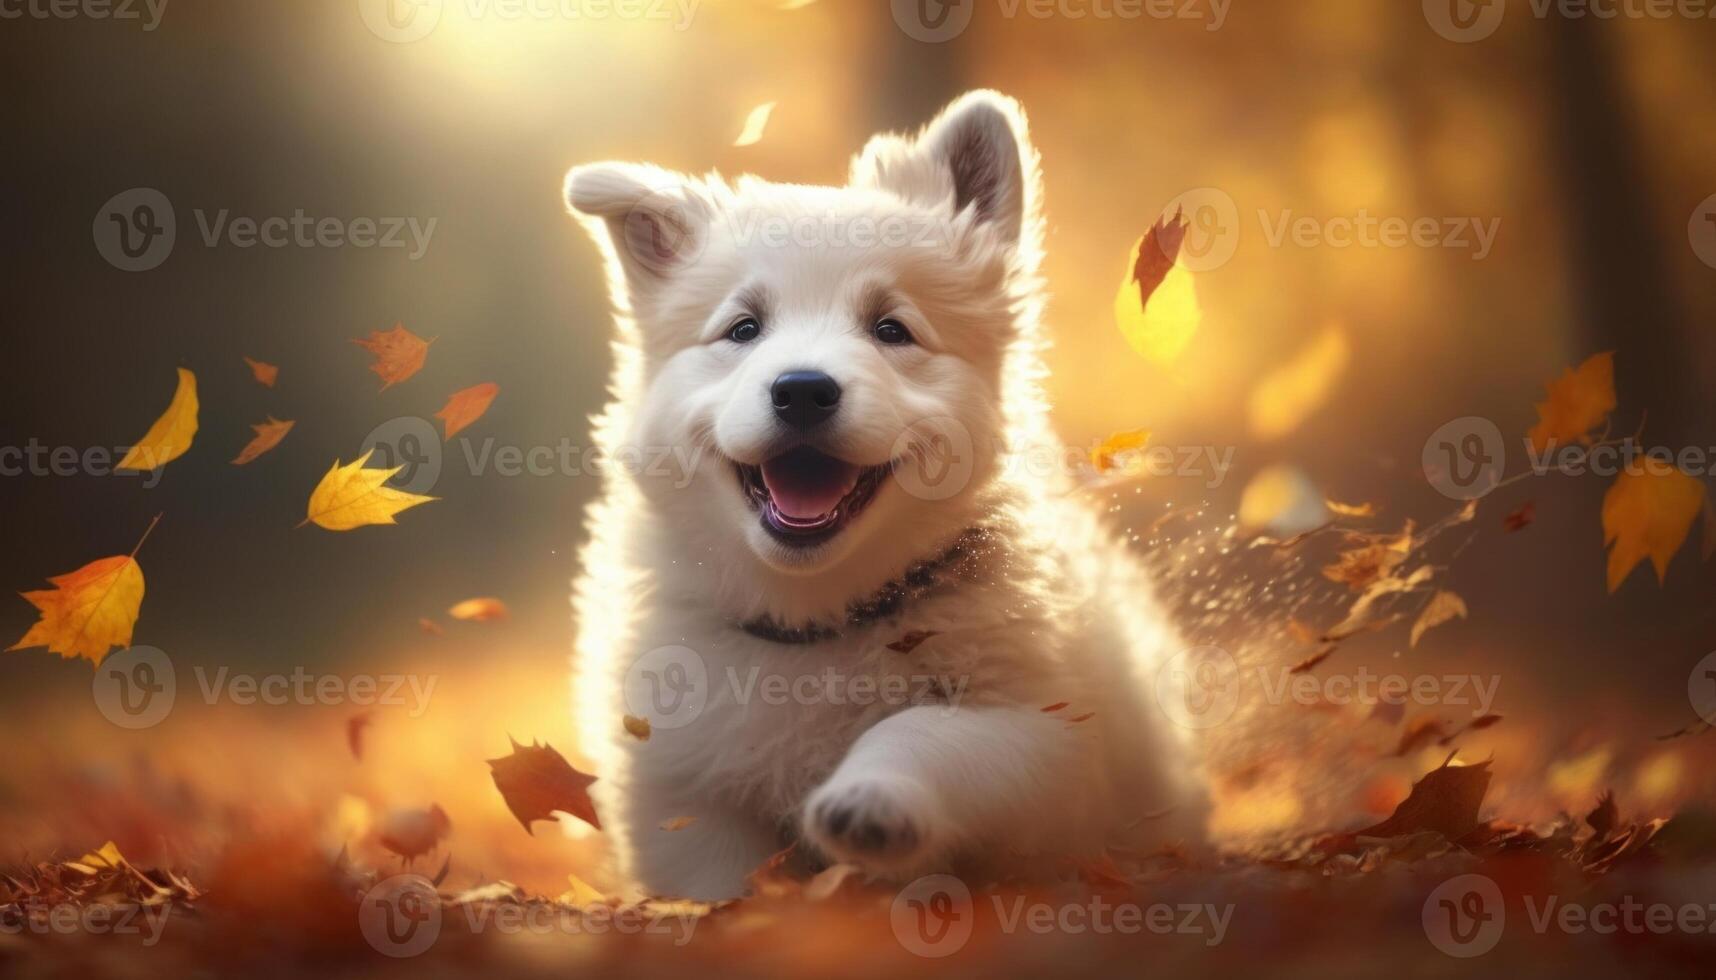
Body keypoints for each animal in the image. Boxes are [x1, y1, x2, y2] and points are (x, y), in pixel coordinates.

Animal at [566, 88, 1208, 899]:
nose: (802, 391)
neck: (815, 622)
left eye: (891, 329)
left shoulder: (1053, 735)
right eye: (743, 329)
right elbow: (716, 885)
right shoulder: (679, 787)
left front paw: (868, 798)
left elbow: (919, 729)